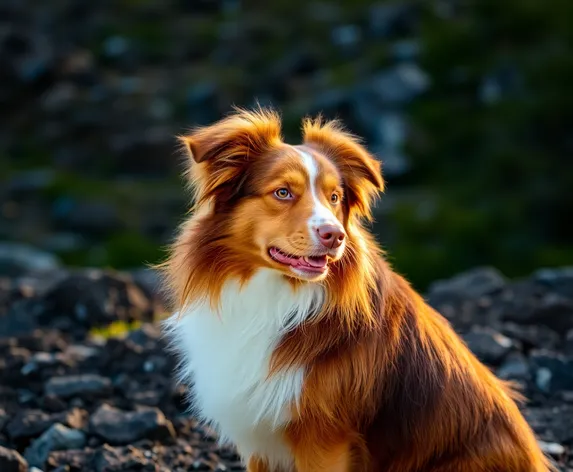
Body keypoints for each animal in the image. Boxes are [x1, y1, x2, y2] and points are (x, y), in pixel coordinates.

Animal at [159, 108, 552, 472]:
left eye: (334, 197)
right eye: (283, 193)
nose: (335, 235)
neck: (276, 297)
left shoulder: (325, 438)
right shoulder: (262, 442)